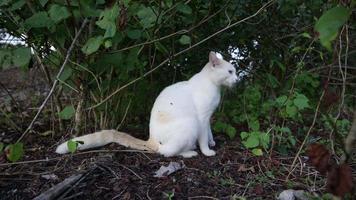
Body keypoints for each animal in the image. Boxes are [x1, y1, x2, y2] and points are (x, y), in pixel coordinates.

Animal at [55, 51, 238, 158]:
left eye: (235, 72)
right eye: (230, 72)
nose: (237, 79)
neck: (214, 85)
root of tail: (150, 139)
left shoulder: (208, 117)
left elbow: (209, 132)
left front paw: (212, 142)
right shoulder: (201, 118)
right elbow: (203, 137)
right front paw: (207, 151)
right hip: (190, 123)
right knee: (166, 152)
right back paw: (190, 153)